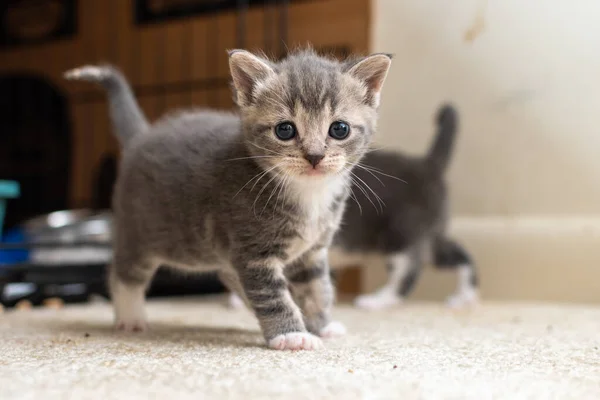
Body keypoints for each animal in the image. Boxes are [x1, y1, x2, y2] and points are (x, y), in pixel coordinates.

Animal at [65, 49, 394, 350]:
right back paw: (129, 317)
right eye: (285, 130)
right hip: (140, 233)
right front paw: (291, 335)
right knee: (123, 273)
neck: (308, 194)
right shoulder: (253, 253)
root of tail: (142, 137)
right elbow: (273, 296)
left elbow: (316, 289)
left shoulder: (311, 252)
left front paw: (321, 325)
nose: (314, 156)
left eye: (339, 129)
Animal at [230, 103, 478, 310]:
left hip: (401, 232)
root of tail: (427, 164)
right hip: (428, 233)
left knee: (408, 271)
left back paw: (377, 300)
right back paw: (464, 296)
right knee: (458, 253)